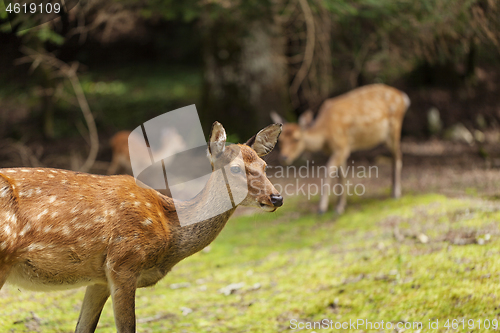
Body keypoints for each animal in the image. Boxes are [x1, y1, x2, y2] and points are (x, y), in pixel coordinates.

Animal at [0, 122, 284, 332]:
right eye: (235, 169)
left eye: (264, 165)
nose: (277, 198)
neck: (168, 230)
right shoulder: (124, 263)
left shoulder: (98, 279)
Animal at [272, 82, 408, 213]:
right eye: (280, 140)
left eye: (297, 139)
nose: (284, 157)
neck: (326, 133)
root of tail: (403, 98)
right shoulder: (339, 149)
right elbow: (341, 175)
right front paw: (340, 206)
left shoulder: (341, 145)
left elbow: (328, 170)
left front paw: (322, 208)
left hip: (395, 128)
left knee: (398, 155)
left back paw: (396, 194)